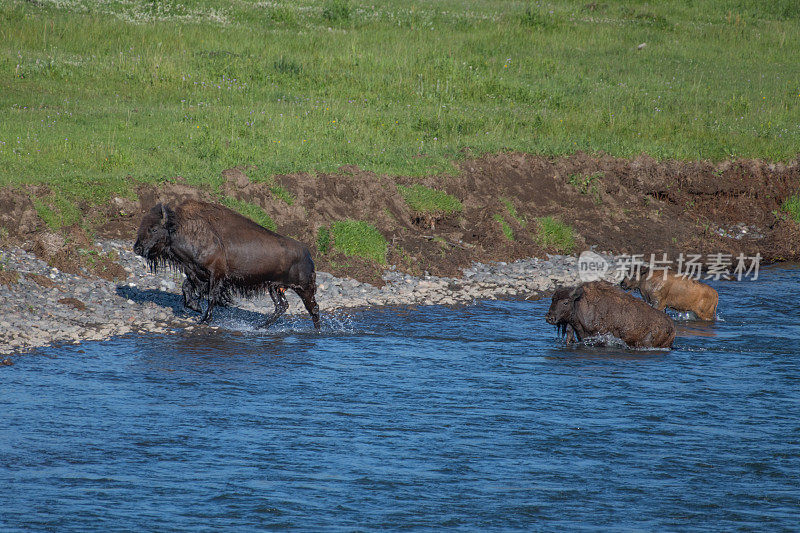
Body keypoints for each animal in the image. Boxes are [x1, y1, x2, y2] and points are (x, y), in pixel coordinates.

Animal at [134, 198, 318, 328]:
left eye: (154, 228)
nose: (137, 248)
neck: (182, 227)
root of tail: (307, 252)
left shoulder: (216, 276)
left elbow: (212, 297)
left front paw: (205, 319)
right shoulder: (196, 273)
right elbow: (186, 288)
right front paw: (196, 307)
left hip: (303, 288)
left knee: (313, 309)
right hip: (275, 287)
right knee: (282, 306)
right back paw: (260, 327)